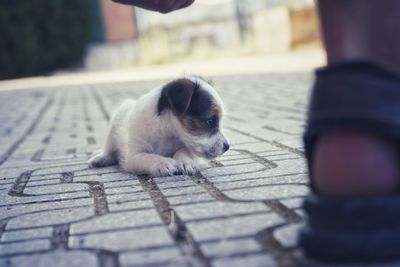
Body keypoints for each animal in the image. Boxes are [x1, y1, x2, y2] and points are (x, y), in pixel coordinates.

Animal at [88, 76, 230, 177]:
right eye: (210, 121)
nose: (227, 147)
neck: (168, 134)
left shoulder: (189, 148)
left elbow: (184, 150)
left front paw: (184, 162)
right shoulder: (133, 155)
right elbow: (148, 157)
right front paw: (163, 162)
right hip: (113, 128)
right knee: (109, 149)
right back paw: (100, 158)